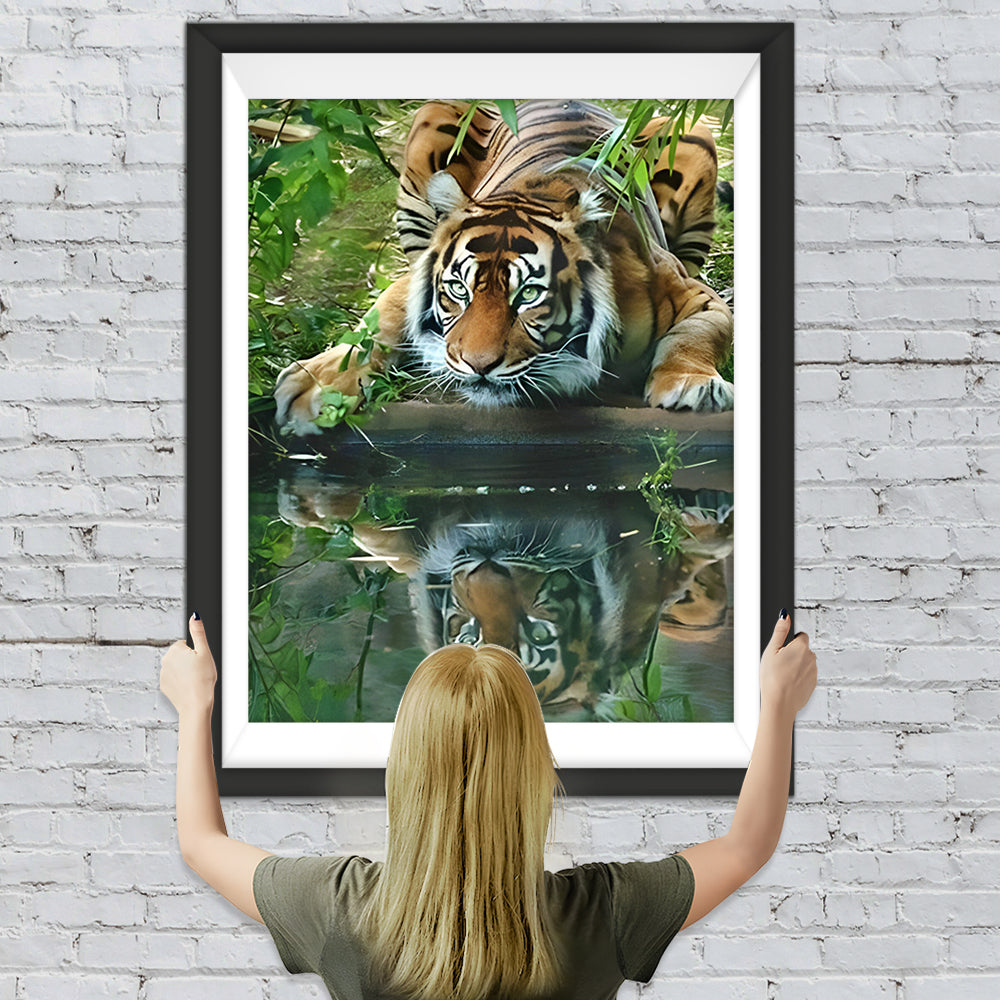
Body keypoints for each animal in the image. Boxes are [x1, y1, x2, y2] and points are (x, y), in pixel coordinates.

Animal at [273, 99, 734, 435]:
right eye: (458, 289)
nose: (477, 365)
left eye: (528, 294)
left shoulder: (698, 296)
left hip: (691, 132)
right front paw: (315, 387)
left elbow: (698, 334)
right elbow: (375, 324)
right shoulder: (416, 276)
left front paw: (693, 386)